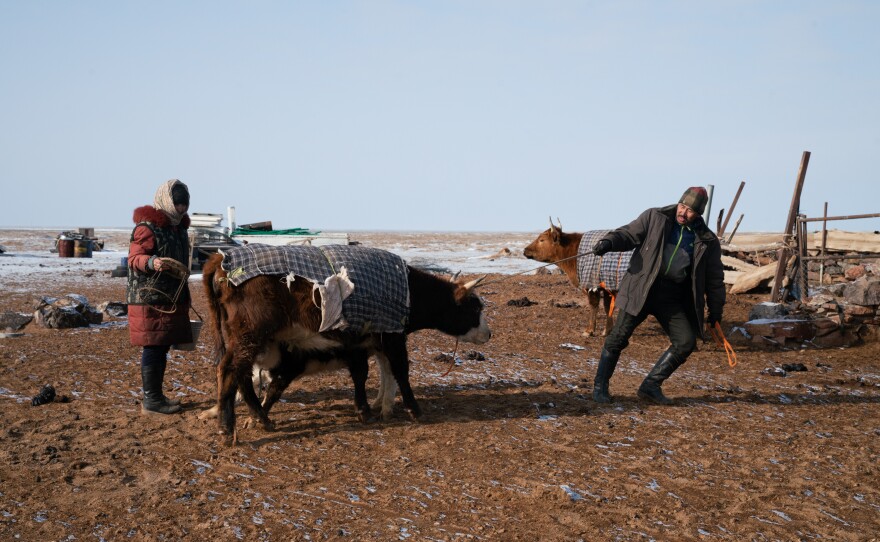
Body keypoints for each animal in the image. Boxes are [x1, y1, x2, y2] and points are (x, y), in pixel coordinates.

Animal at [201, 248, 491, 442]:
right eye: (475, 307)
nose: (489, 334)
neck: (409, 289)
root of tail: (222, 261)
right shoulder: (392, 337)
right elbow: (400, 371)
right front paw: (413, 410)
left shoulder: (366, 341)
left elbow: (370, 373)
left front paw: (373, 408)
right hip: (250, 336)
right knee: (230, 371)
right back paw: (228, 427)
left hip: (246, 339)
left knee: (242, 375)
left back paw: (261, 418)